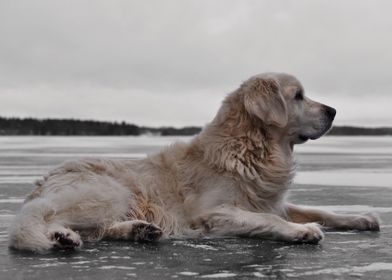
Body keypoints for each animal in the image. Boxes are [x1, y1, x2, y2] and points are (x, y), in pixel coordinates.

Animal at [9, 72, 380, 252]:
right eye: (298, 96)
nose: (334, 111)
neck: (252, 149)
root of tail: (44, 180)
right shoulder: (214, 212)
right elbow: (268, 220)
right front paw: (302, 231)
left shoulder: (271, 200)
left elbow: (320, 210)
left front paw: (360, 218)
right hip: (108, 191)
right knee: (37, 221)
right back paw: (61, 237)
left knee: (96, 230)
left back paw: (136, 231)